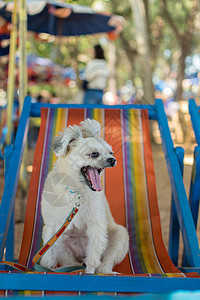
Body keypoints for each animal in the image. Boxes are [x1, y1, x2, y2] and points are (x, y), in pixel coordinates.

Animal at [40, 118, 129, 274]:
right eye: (94, 154)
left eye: (111, 152)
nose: (112, 159)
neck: (77, 192)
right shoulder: (52, 227)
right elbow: (47, 256)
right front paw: (45, 268)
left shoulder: (96, 226)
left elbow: (93, 257)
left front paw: (89, 272)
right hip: (61, 242)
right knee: (68, 262)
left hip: (120, 236)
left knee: (104, 263)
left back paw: (106, 271)